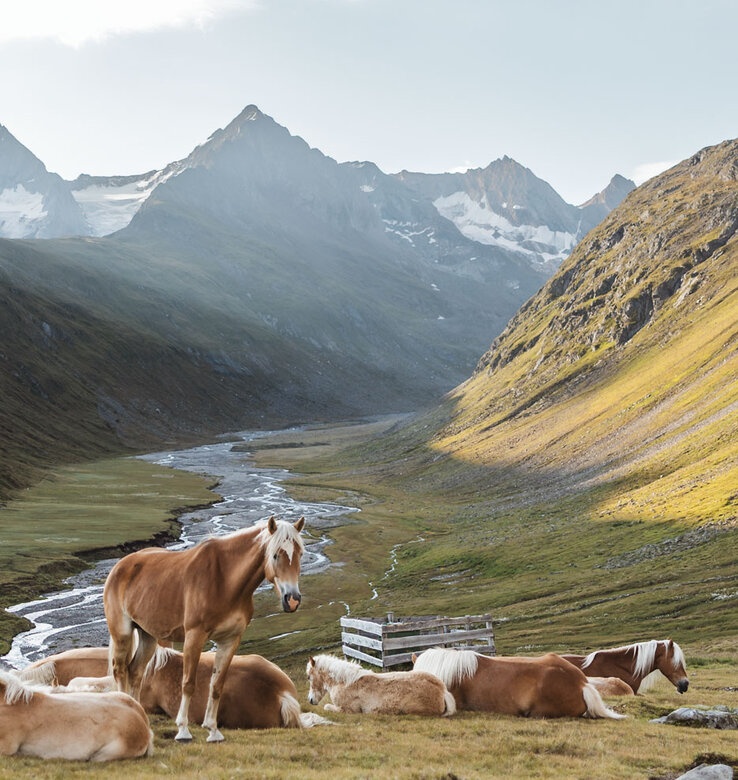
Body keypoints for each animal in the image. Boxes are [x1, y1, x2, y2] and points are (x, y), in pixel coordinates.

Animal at [104, 515, 305, 742]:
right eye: (275, 555)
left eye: (300, 554)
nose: (293, 600)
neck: (224, 580)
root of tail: (121, 565)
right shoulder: (195, 636)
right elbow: (188, 683)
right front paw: (183, 730)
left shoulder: (230, 639)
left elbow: (216, 685)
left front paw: (213, 730)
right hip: (122, 633)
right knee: (121, 670)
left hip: (148, 636)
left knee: (136, 671)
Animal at [306, 654, 456, 716]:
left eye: (308, 677)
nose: (310, 700)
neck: (344, 682)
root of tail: (442, 689)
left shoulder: (348, 710)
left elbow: (326, 706)